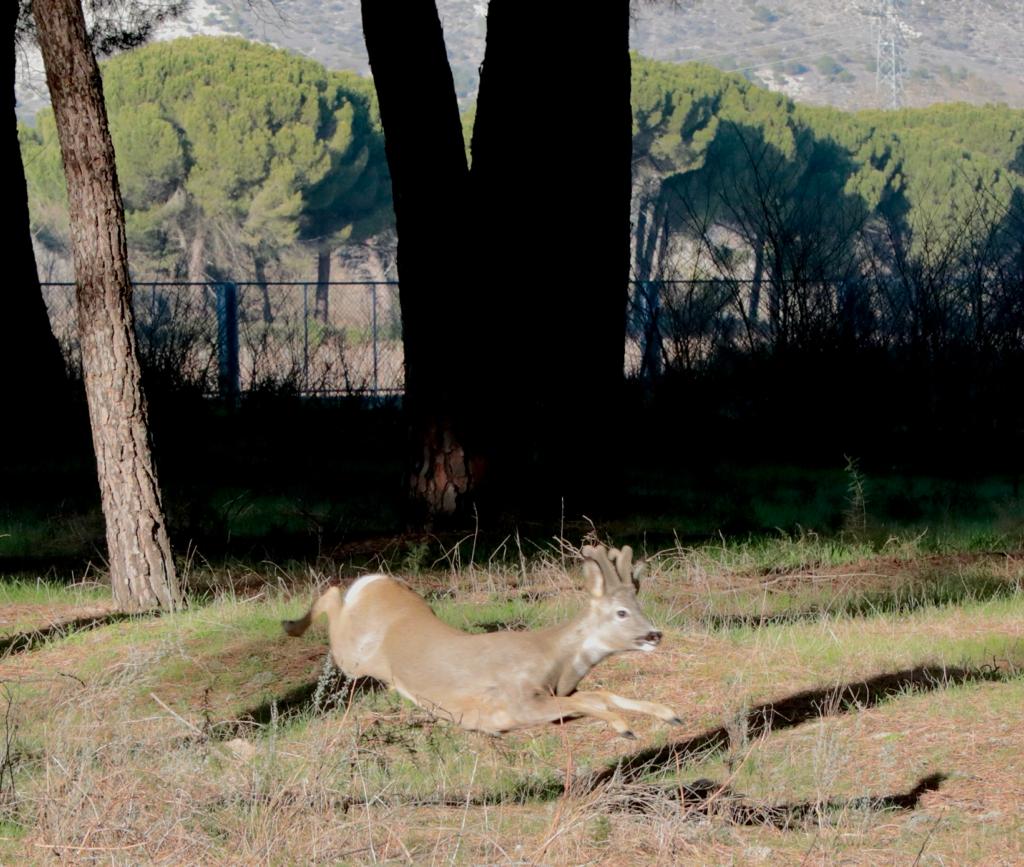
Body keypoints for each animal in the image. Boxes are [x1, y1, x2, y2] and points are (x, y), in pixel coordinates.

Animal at [282, 544, 679, 737]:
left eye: (639, 605)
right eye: (621, 612)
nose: (654, 634)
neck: (555, 660)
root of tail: (376, 582)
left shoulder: (557, 697)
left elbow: (600, 695)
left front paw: (668, 714)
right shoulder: (517, 699)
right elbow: (593, 701)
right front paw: (625, 728)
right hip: (353, 656)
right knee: (332, 594)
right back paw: (290, 625)